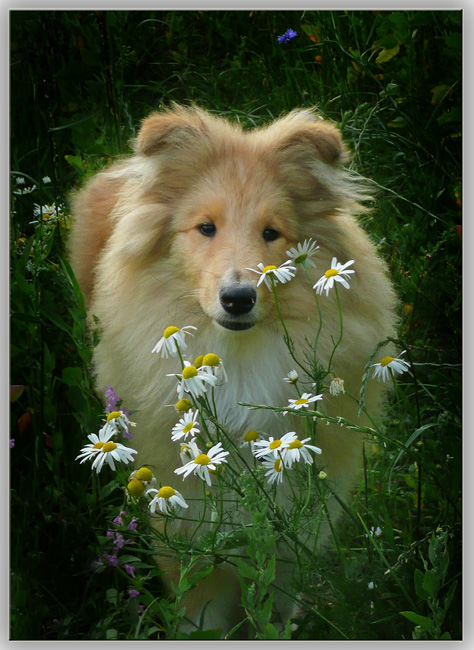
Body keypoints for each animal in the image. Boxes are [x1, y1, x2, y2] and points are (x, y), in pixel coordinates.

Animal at [68, 105, 398, 632]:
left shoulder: (294, 528)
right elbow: (199, 612)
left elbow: (276, 604)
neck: (237, 359)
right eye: (206, 228)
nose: (239, 298)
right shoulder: (185, 523)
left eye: (271, 232)